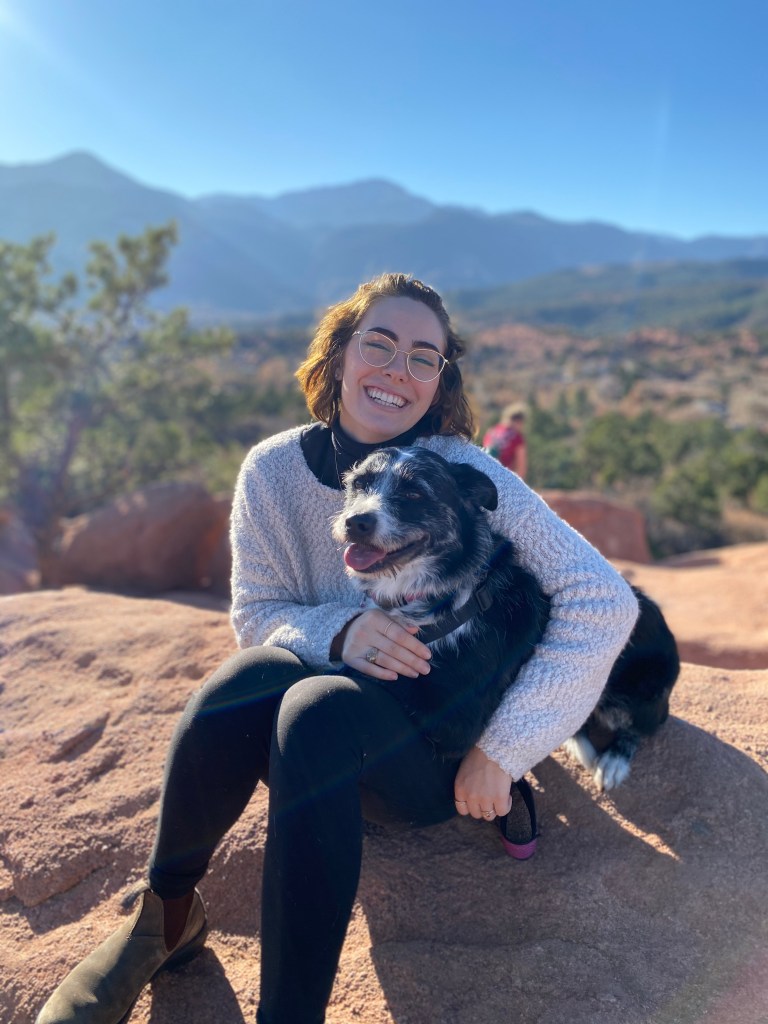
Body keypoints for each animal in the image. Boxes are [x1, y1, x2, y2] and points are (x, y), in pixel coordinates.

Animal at [333, 446, 679, 789]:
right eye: (359, 484)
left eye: (415, 493)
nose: (355, 522)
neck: (437, 596)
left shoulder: (455, 722)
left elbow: (356, 677)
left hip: (641, 686)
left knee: (643, 724)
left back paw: (613, 762)